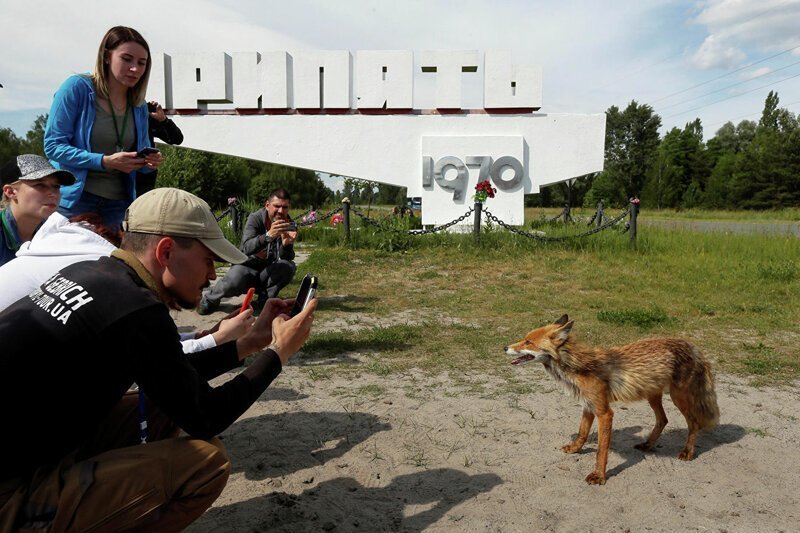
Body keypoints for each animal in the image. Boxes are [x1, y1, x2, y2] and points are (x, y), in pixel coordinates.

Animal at [506, 314, 720, 484]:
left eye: (528, 342)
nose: (504, 347)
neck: (579, 367)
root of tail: (692, 345)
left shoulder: (604, 412)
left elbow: (601, 450)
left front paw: (599, 476)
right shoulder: (589, 405)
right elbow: (582, 433)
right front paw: (575, 449)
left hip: (678, 397)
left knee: (694, 423)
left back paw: (688, 452)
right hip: (652, 395)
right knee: (663, 419)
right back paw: (648, 445)